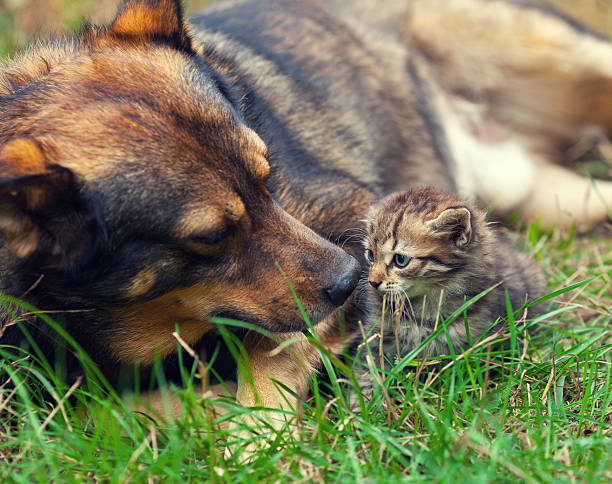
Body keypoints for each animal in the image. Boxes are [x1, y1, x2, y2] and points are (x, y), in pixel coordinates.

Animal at [358, 187, 544, 384]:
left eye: (400, 260)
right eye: (370, 255)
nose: (373, 282)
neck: (424, 309)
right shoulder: (376, 339)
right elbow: (367, 375)